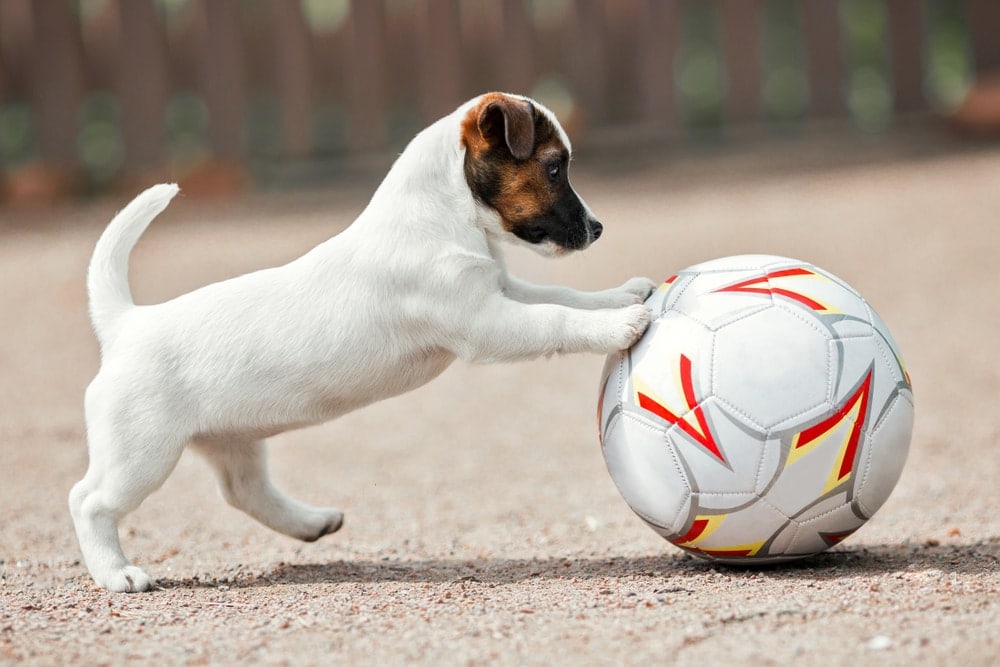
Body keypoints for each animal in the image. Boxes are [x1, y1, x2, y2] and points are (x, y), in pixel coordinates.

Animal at [70, 91, 656, 592]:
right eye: (555, 167)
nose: (598, 229)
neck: (438, 217)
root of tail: (124, 323)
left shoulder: (503, 291)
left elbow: (563, 295)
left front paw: (625, 294)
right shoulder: (485, 322)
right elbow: (556, 318)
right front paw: (620, 325)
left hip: (232, 438)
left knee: (243, 490)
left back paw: (310, 522)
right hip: (142, 455)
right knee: (89, 502)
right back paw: (118, 574)